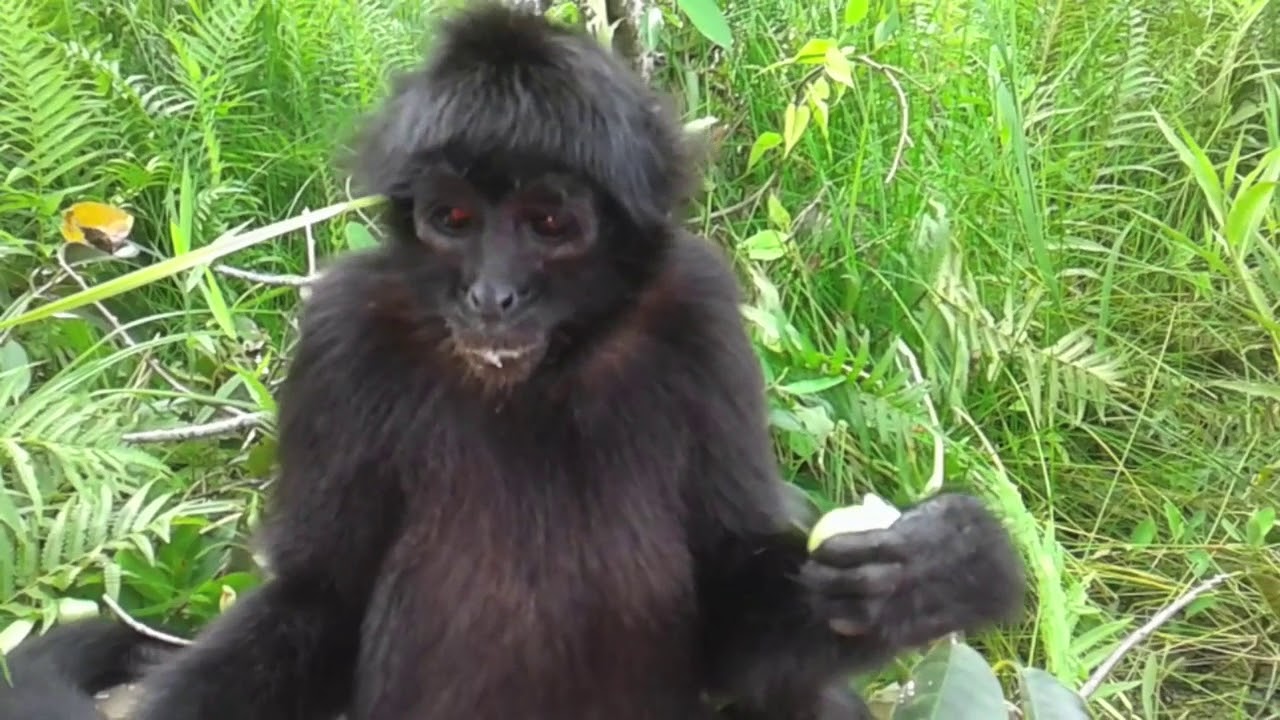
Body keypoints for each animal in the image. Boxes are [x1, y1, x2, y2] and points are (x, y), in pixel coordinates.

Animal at [3, 4, 1026, 719]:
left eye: (547, 222)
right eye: (454, 219)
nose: (491, 296)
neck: (535, 379)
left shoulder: (696, 307)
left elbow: (734, 596)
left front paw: (939, 570)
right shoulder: (342, 327)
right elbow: (318, 599)